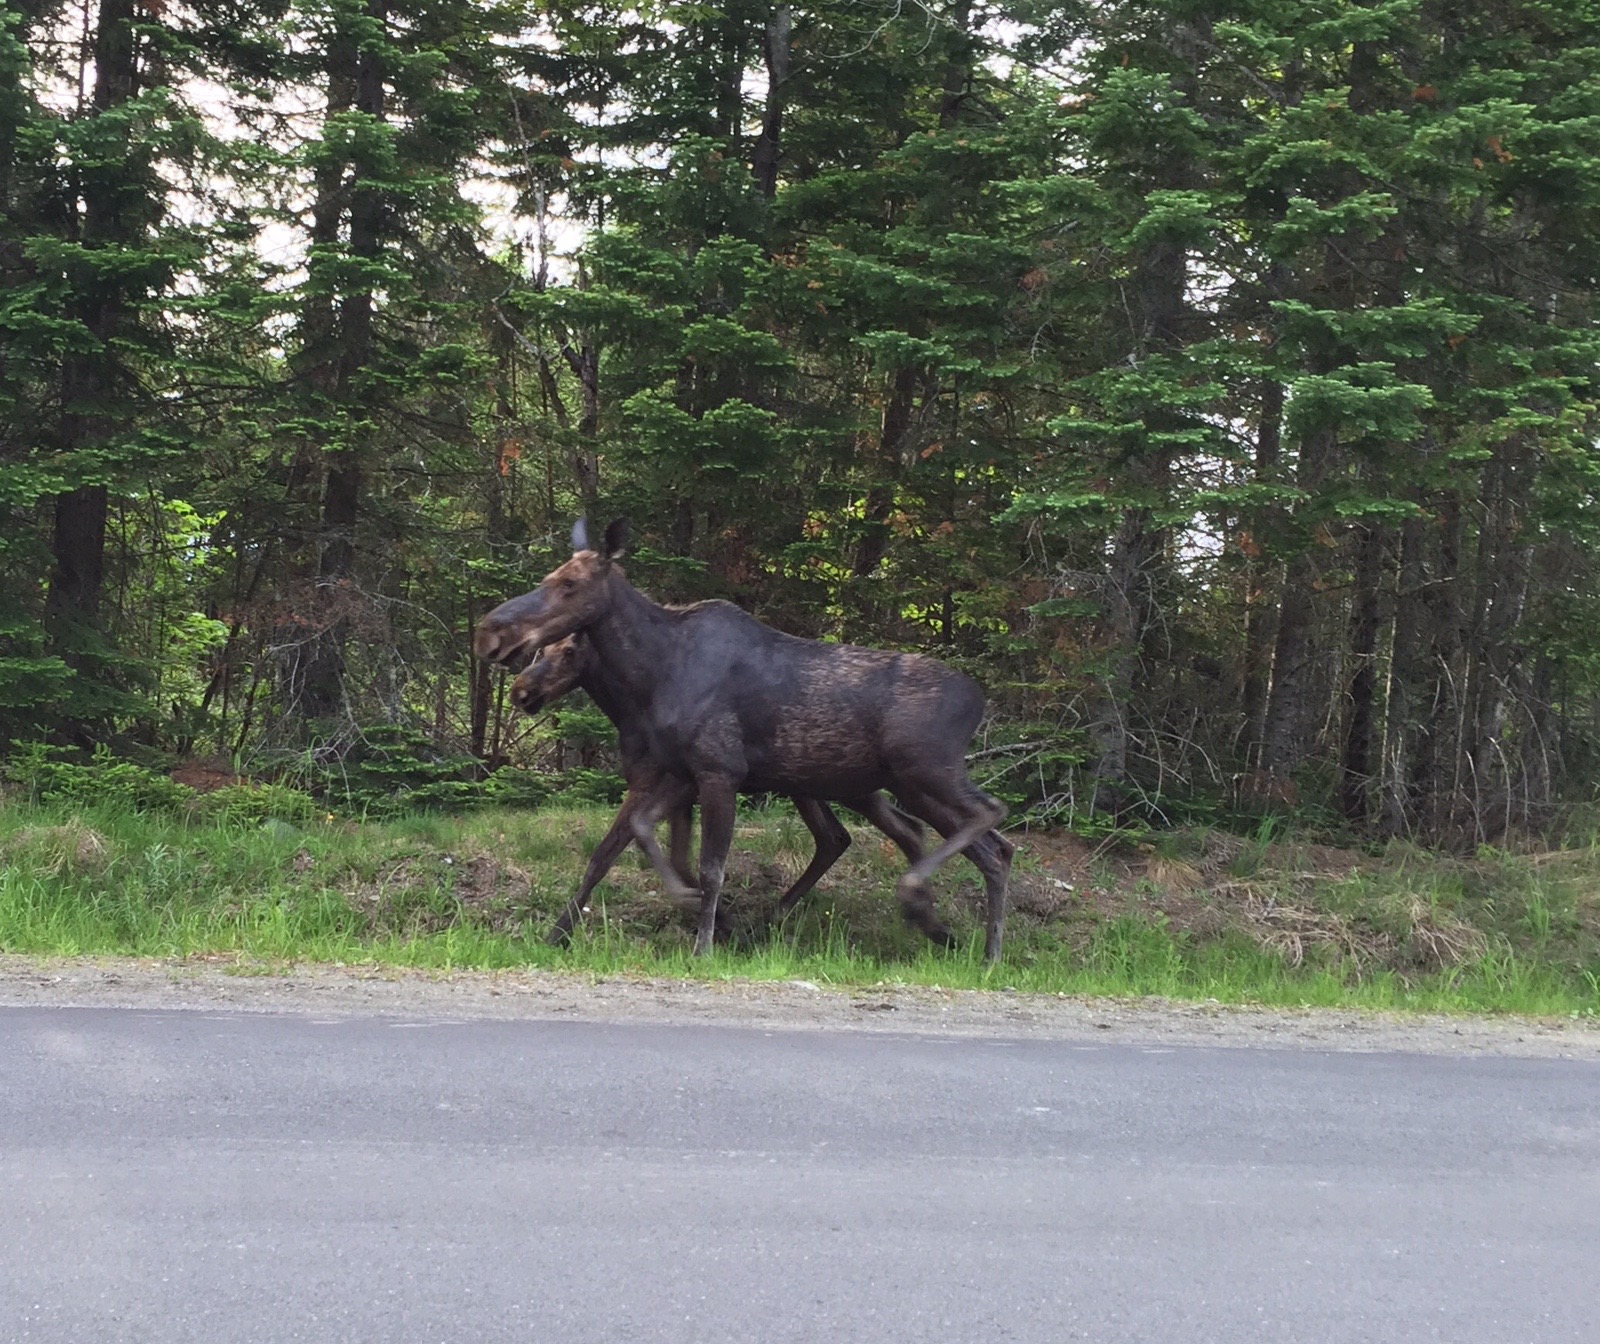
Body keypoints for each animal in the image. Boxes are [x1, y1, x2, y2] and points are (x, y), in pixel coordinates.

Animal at [477, 519, 1012, 962]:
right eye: (548, 577)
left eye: (570, 585)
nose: (490, 632)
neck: (650, 680)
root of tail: (980, 699)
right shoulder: (680, 774)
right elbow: (637, 844)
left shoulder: (718, 771)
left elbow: (709, 865)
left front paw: (705, 945)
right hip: (890, 784)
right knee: (978, 845)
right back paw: (963, 941)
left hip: (922, 770)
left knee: (988, 818)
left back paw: (942, 920)